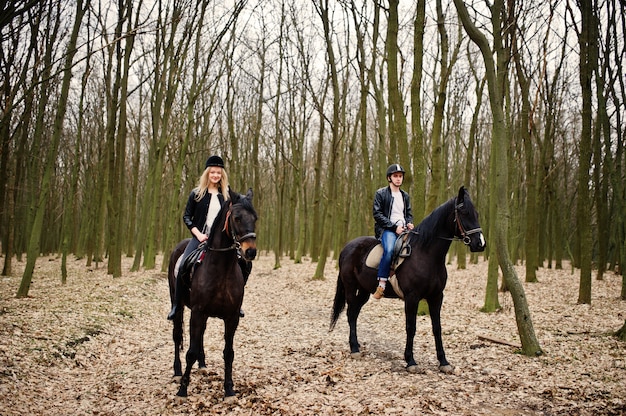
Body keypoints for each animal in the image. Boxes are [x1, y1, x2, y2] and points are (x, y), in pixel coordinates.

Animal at [167, 189, 258, 400]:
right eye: (237, 218)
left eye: (255, 218)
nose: (250, 252)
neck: (221, 269)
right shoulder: (197, 312)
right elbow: (190, 351)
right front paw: (183, 389)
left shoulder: (232, 317)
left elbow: (229, 353)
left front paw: (229, 389)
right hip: (179, 305)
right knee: (177, 335)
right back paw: (177, 370)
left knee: (200, 334)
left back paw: (202, 363)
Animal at [330, 187, 486, 372]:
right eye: (464, 212)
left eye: (476, 213)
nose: (480, 244)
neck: (426, 254)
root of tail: (346, 247)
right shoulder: (412, 297)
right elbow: (411, 327)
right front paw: (410, 361)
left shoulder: (436, 297)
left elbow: (437, 328)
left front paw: (443, 362)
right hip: (350, 286)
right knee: (349, 312)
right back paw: (354, 348)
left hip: (364, 291)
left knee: (354, 313)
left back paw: (357, 345)